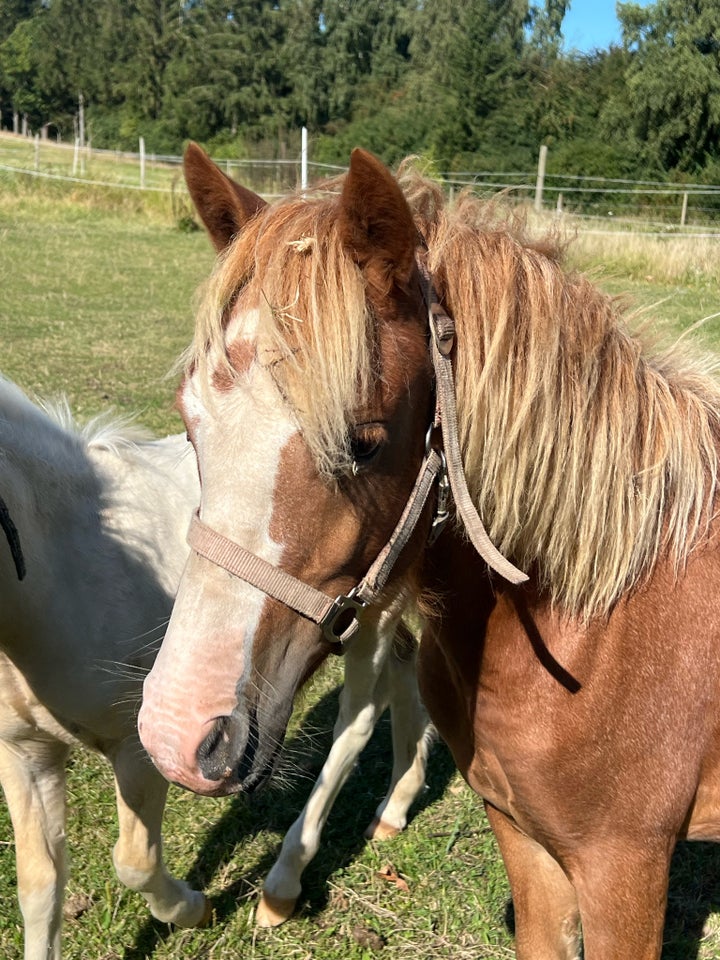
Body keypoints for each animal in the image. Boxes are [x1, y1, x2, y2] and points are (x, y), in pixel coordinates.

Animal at [0, 376, 430, 952]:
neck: (67, 568)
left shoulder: (142, 745)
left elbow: (134, 861)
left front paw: (193, 908)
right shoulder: (26, 754)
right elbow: (39, 887)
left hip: (371, 611)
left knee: (357, 720)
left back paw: (283, 885)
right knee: (406, 667)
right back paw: (396, 806)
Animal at [139, 144, 720, 960]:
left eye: (363, 442)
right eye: (190, 419)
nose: (177, 732)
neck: (601, 623)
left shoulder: (626, 870)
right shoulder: (527, 843)